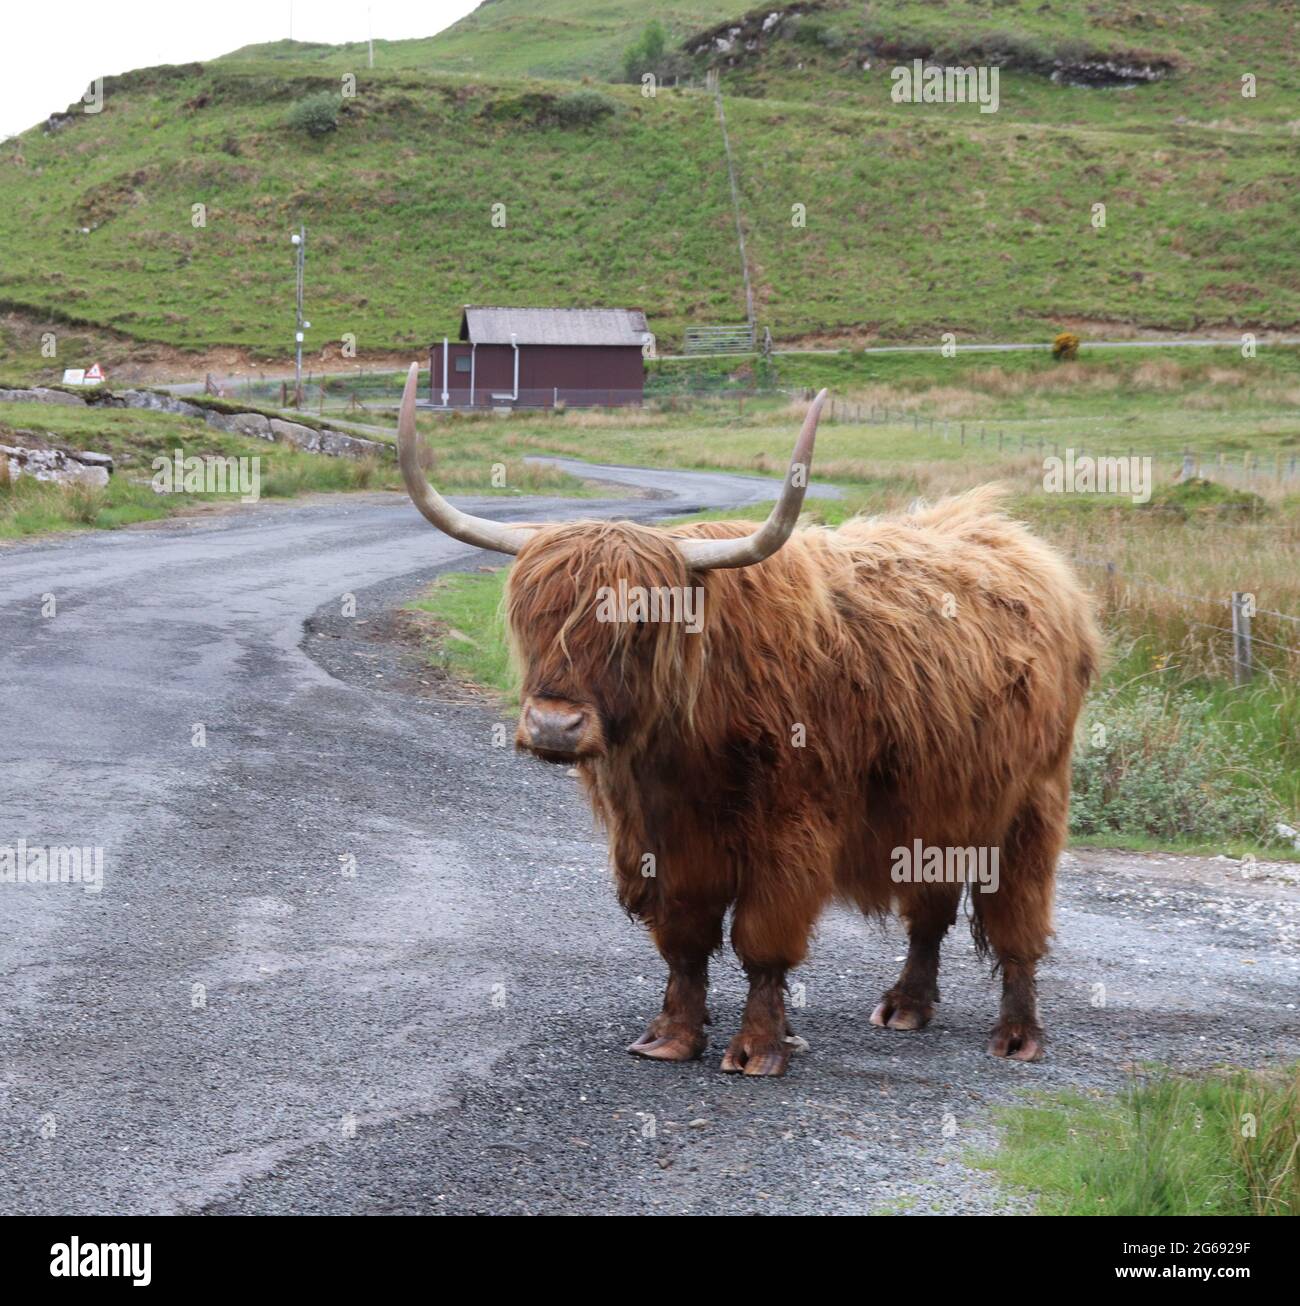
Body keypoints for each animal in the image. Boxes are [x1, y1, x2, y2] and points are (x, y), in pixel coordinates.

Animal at [396, 364, 1101, 1075]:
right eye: (533, 617)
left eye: (639, 626)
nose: (551, 727)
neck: (679, 748)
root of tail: (1027, 551)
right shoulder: (663, 837)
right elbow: (684, 938)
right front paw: (673, 1036)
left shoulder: (790, 828)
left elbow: (762, 940)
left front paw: (759, 1046)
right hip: (942, 803)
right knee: (929, 909)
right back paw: (906, 1004)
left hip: (1030, 802)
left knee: (1018, 917)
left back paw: (1017, 1033)